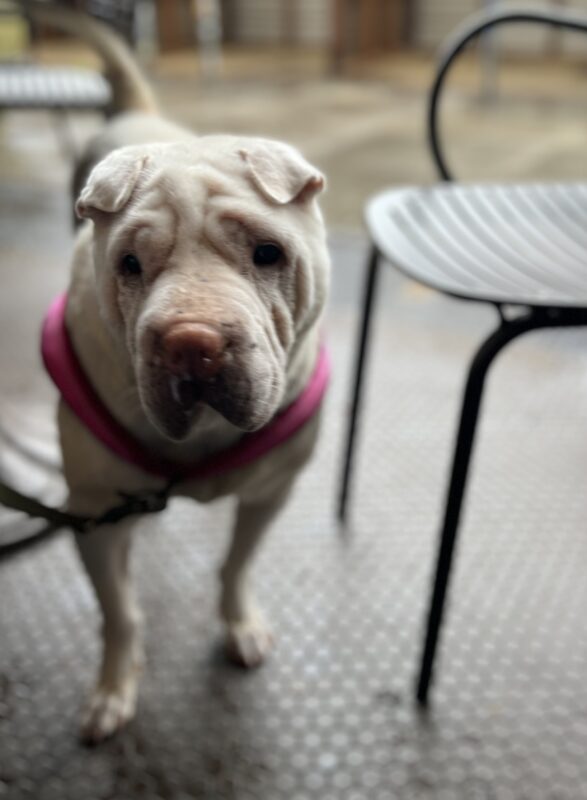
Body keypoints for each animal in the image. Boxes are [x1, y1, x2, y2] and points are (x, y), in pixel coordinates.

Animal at [31, 4, 330, 744]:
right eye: (130, 265)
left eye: (268, 252)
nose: (191, 344)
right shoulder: (94, 517)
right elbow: (119, 612)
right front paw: (113, 689)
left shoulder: (271, 491)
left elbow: (236, 564)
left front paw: (240, 626)